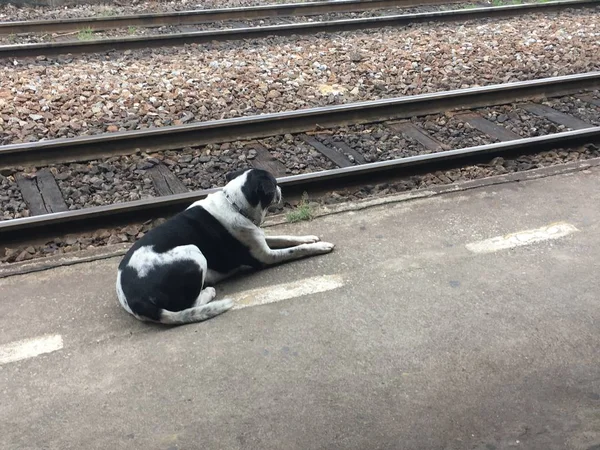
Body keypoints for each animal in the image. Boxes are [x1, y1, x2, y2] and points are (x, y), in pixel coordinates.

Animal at [115, 167, 336, 326]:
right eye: (274, 184)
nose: (282, 189)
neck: (235, 205)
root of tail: (135, 301)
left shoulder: (260, 240)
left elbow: (287, 237)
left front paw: (309, 237)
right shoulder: (265, 256)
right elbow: (296, 250)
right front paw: (321, 246)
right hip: (194, 253)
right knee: (189, 304)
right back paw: (209, 291)